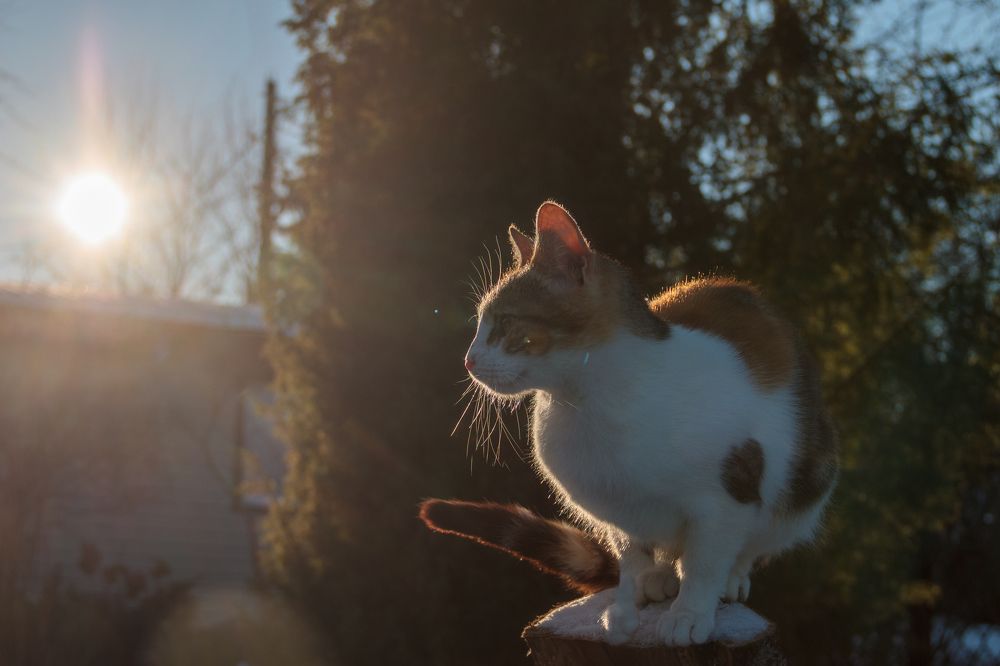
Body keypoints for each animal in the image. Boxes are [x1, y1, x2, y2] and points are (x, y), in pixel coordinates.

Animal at [424, 201, 838, 646]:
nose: (468, 361)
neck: (589, 403)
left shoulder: (728, 495)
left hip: (807, 485)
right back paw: (660, 578)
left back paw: (730, 580)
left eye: (503, 323)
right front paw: (631, 599)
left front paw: (691, 610)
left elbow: (706, 561)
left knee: (754, 542)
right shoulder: (617, 508)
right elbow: (631, 553)